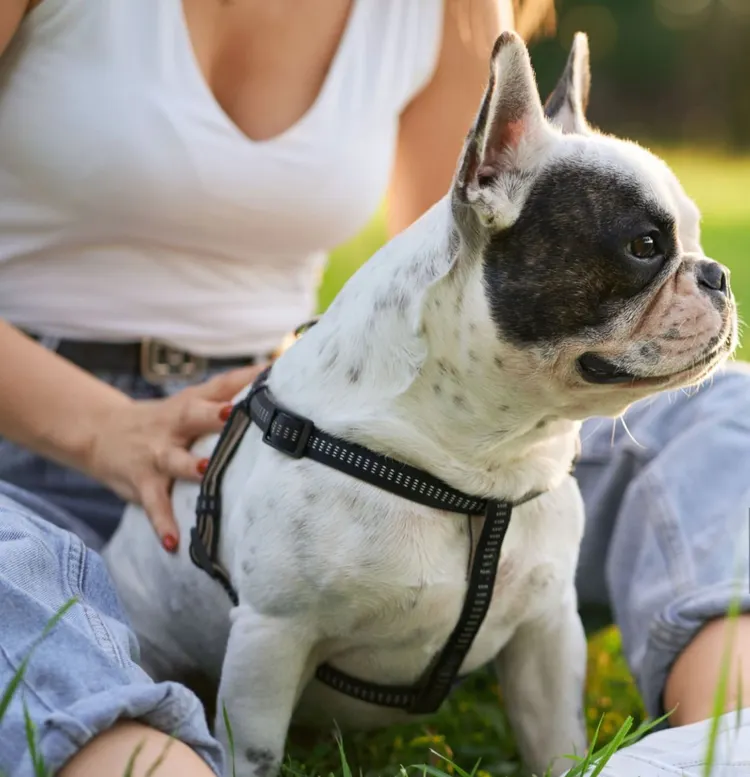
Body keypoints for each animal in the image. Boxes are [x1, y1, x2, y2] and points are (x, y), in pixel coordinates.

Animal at [106, 31, 740, 776]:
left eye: (693, 236)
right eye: (645, 247)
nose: (719, 274)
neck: (485, 461)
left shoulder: (545, 632)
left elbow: (556, 740)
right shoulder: (271, 640)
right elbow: (254, 753)